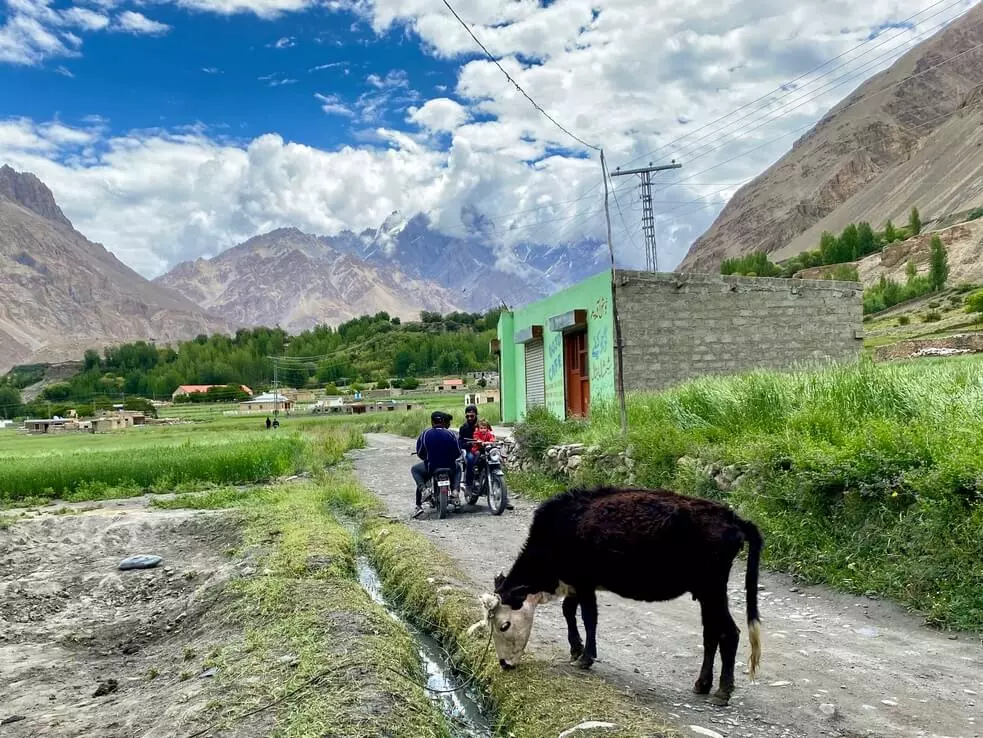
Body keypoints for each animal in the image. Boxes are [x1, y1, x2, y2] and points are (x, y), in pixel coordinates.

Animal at [472, 486, 764, 704]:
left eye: (504, 625)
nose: (504, 664)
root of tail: (731, 517)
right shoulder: (576, 583)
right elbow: (568, 611)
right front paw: (576, 650)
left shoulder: (584, 582)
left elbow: (589, 617)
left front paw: (586, 657)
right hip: (706, 593)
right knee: (711, 634)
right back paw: (702, 684)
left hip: (713, 589)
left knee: (729, 633)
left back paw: (723, 691)